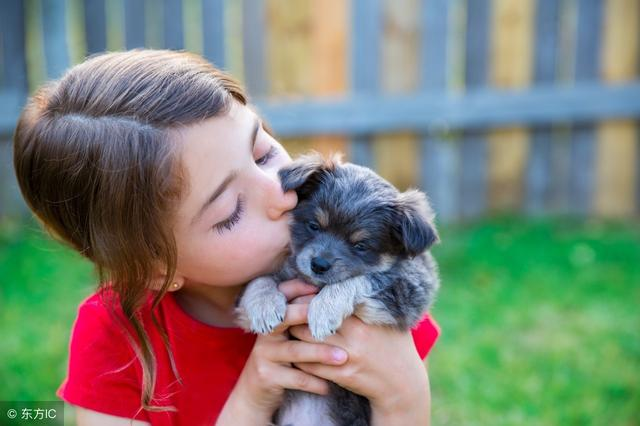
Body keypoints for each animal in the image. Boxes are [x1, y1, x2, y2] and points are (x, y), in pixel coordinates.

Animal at [235, 151, 440, 426]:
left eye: (360, 246)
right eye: (314, 225)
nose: (319, 264)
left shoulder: (410, 290)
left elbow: (360, 279)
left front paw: (324, 310)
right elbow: (259, 280)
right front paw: (264, 307)